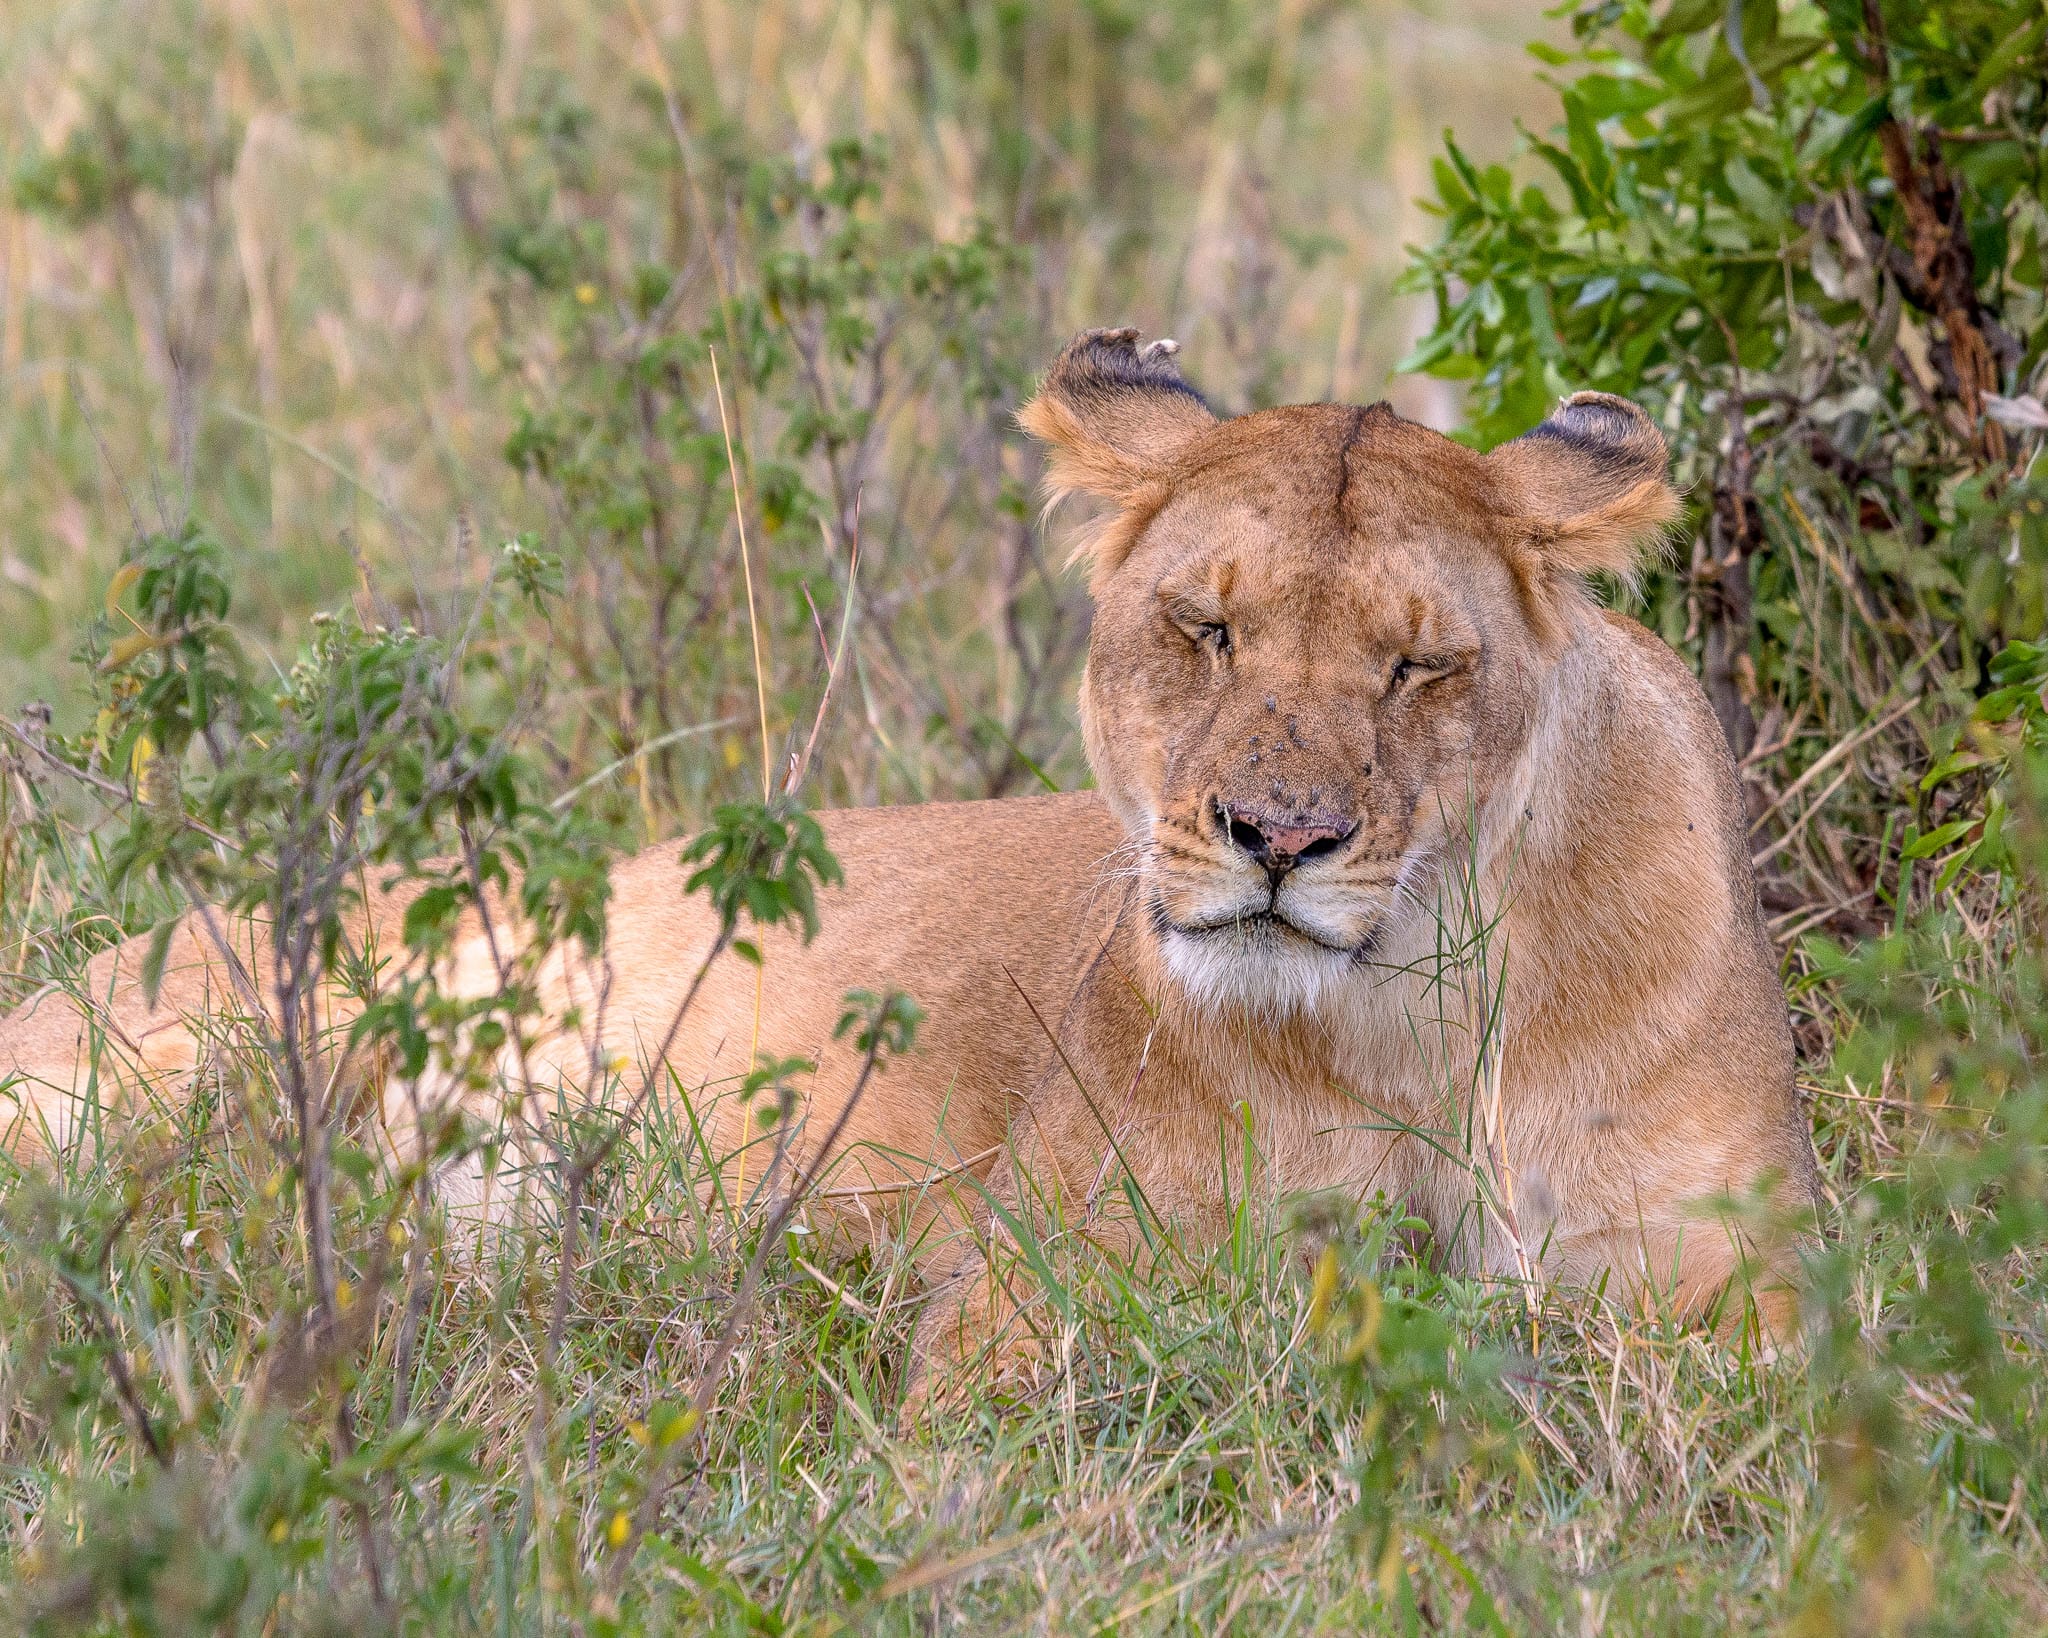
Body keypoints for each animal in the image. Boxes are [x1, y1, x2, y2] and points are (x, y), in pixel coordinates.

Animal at [0, 328, 1817, 1394]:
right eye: (1205, 629)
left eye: (1417, 665)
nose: (1279, 839)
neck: (1419, 1014)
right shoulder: (1035, 1304)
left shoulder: (1740, 1292)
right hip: (180, 1060)